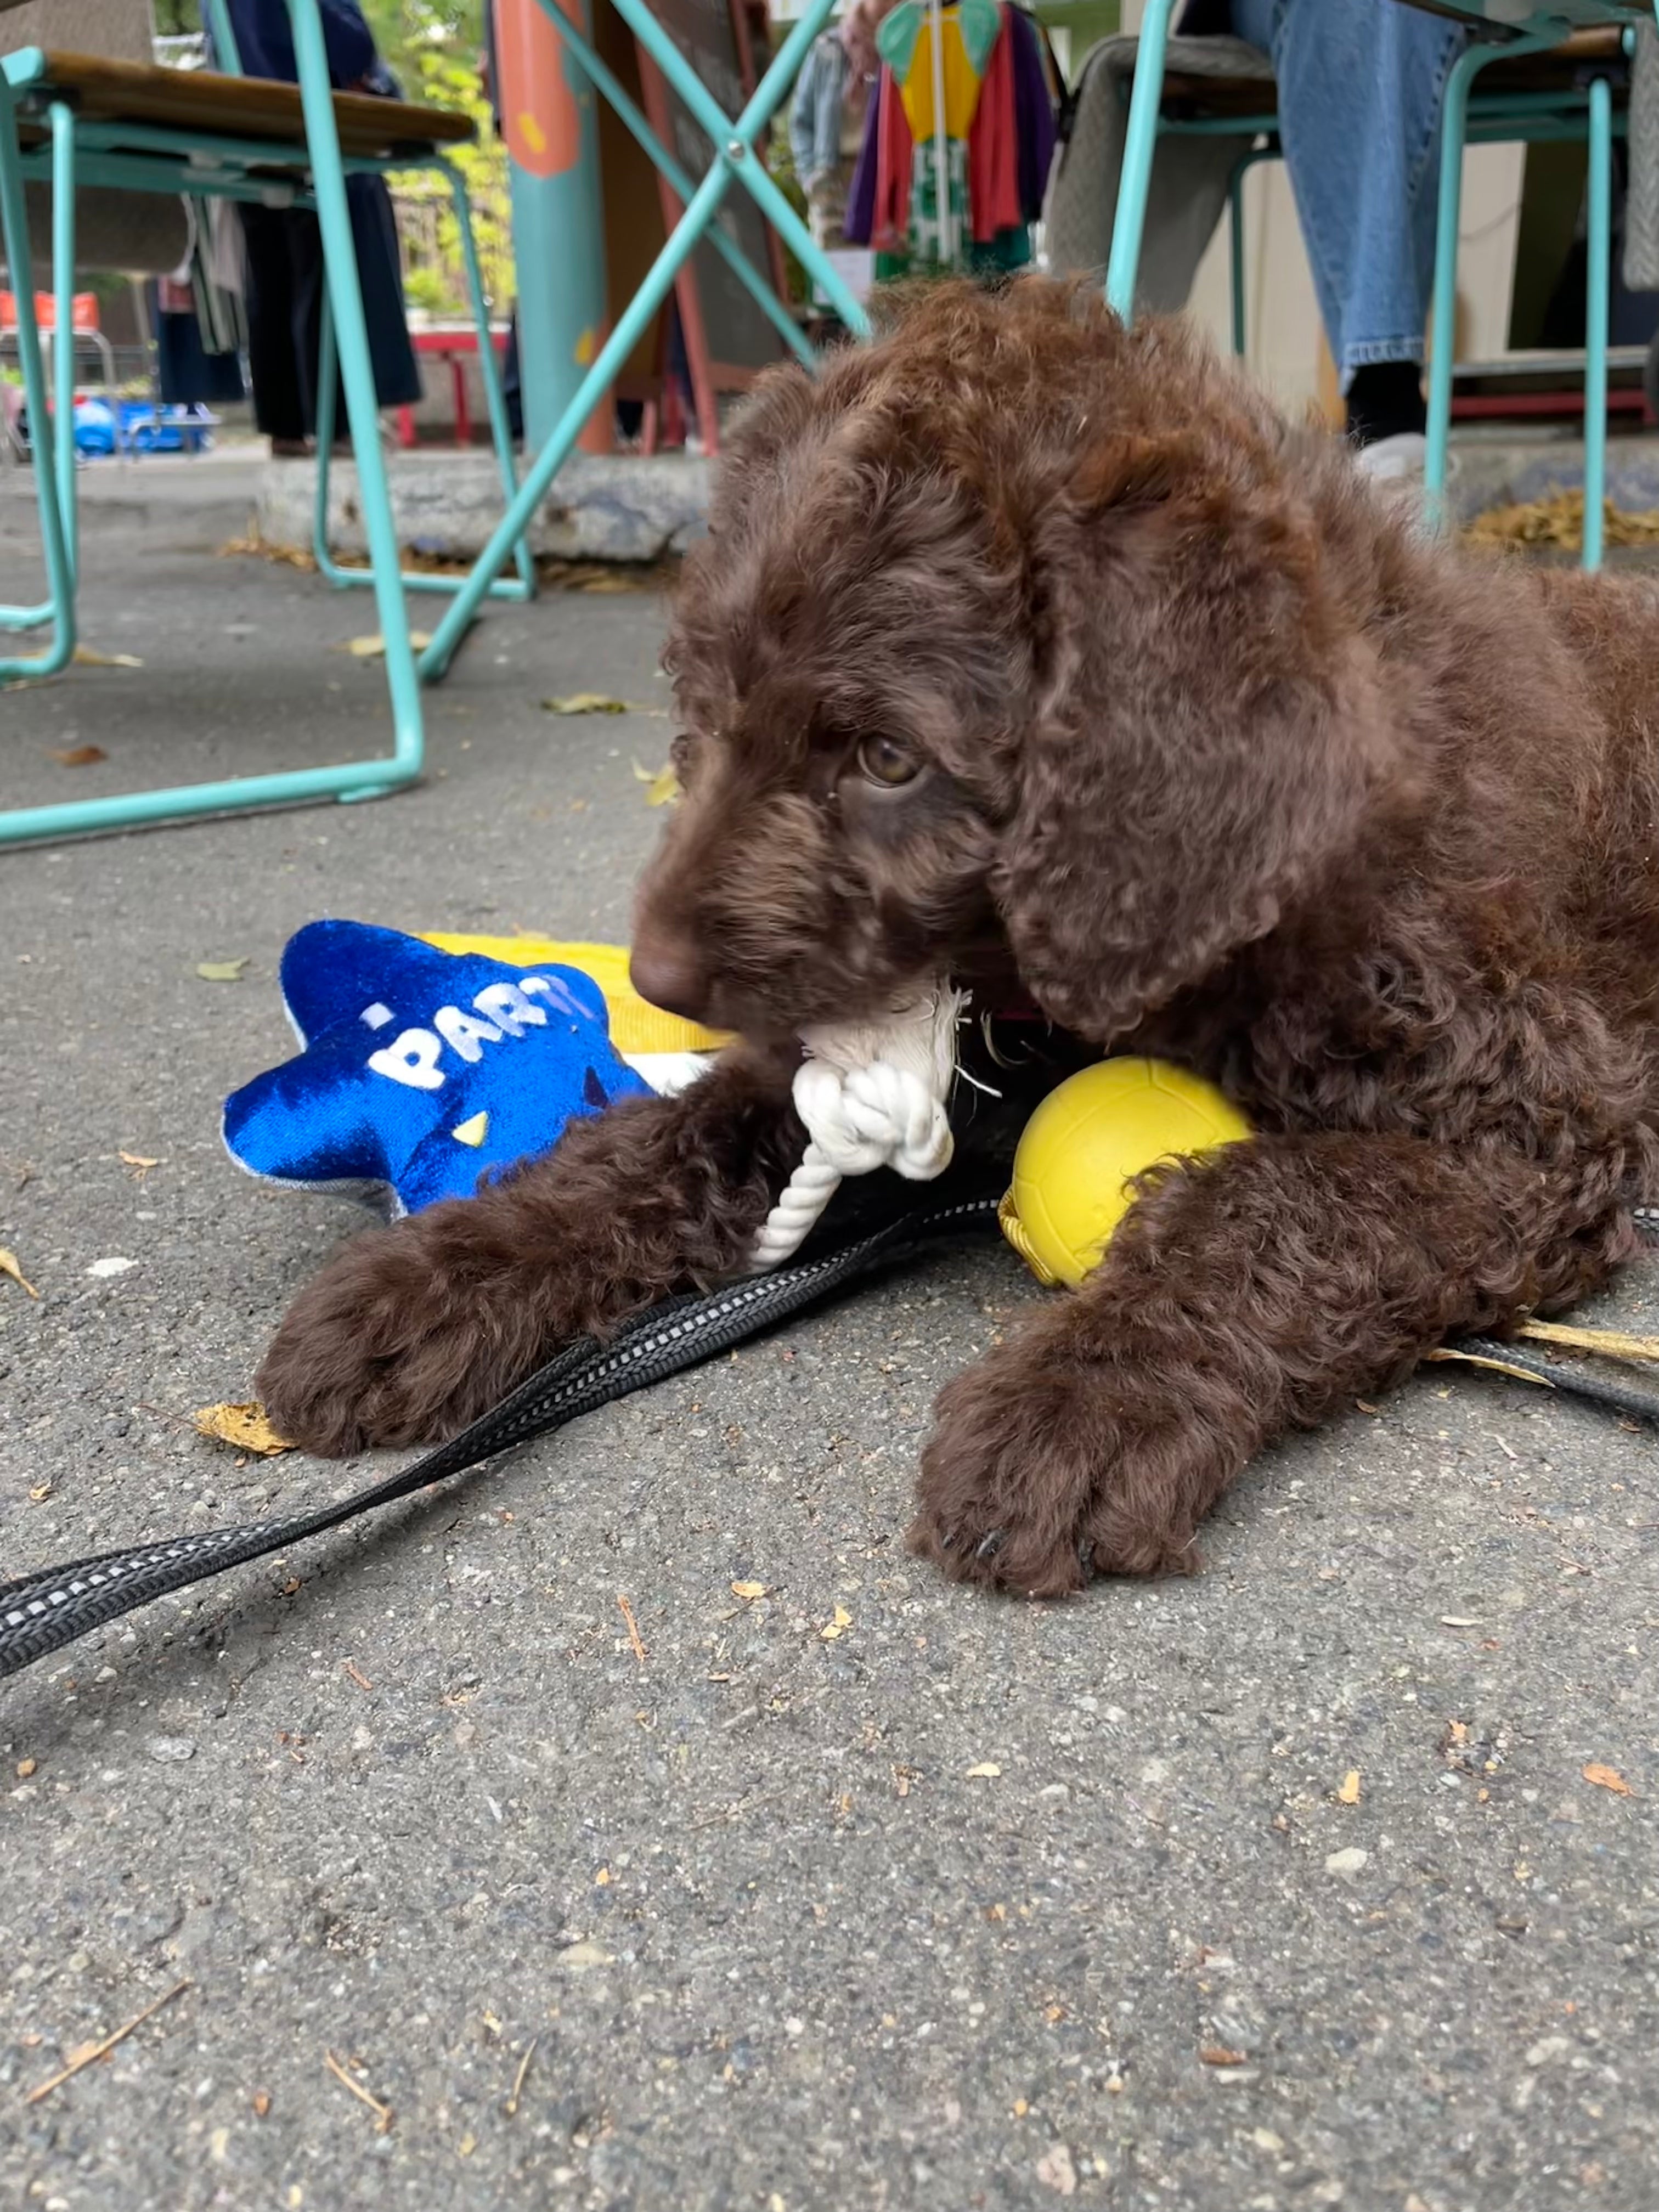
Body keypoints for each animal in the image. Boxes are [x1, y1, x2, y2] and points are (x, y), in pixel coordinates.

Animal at [256, 281, 1659, 1593]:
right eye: (703, 707)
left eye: (888, 759)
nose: (656, 977)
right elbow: (667, 1137)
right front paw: (435, 1276)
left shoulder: (1533, 1133)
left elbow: (1273, 1198)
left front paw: (1084, 1398)